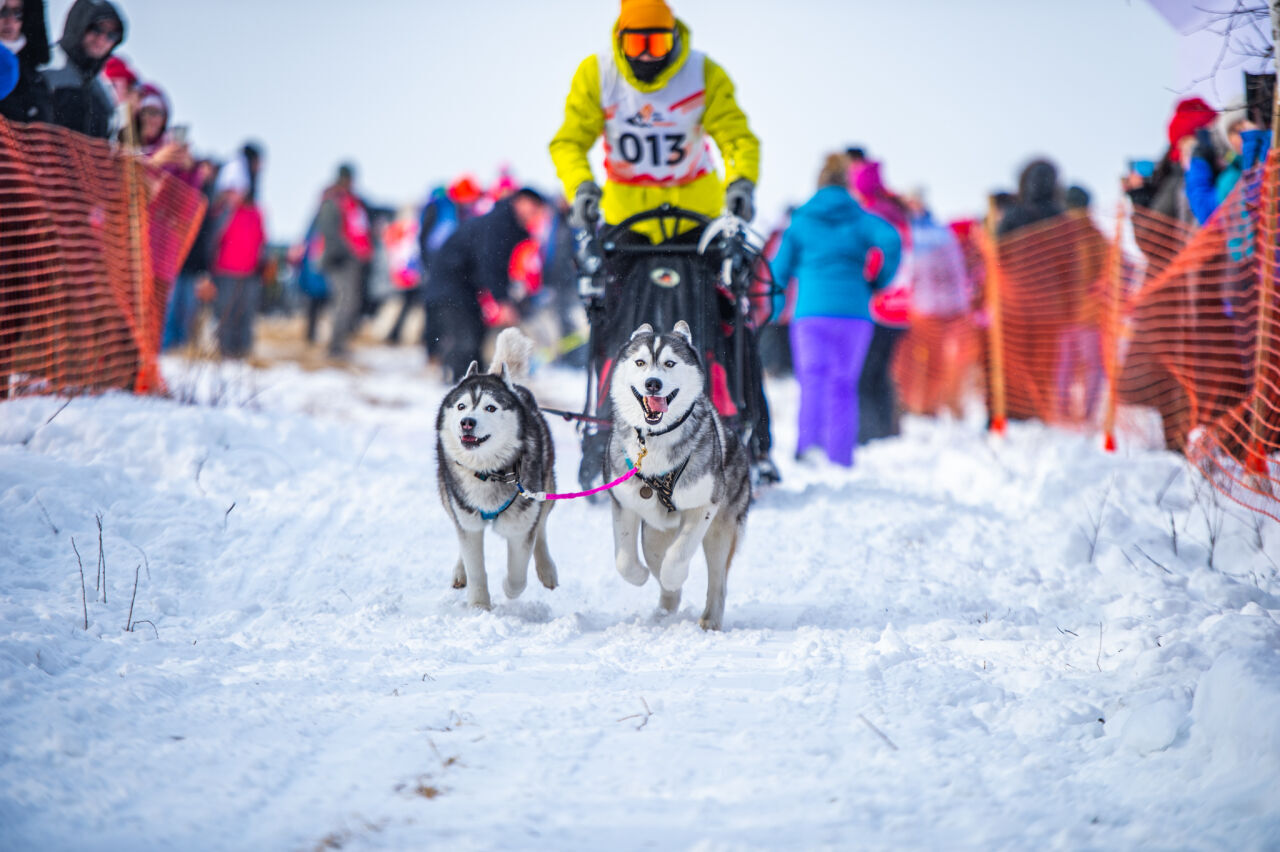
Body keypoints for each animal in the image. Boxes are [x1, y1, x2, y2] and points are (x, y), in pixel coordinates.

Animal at [435, 327, 555, 606]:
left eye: (490, 407)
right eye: (461, 406)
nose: (467, 422)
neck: (489, 473)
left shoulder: (521, 525)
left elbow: (518, 573)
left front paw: (509, 589)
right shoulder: (467, 520)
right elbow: (475, 566)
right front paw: (479, 605)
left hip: (545, 489)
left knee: (542, 528)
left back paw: (546, 569)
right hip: (449, 498)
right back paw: (460, 572)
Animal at [604, 322, 752, 626]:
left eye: (669, 363)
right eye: (640, 362)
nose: (653, 383)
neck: (654, 439)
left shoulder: (704, 505)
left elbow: (679, 554)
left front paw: (674, 576)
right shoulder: (623, 502)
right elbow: (624, 561)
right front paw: (640, 576)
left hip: (720, 530)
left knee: (717, 580)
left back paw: (710, 620)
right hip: (654, 534)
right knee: (655, 557)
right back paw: (663, 612)